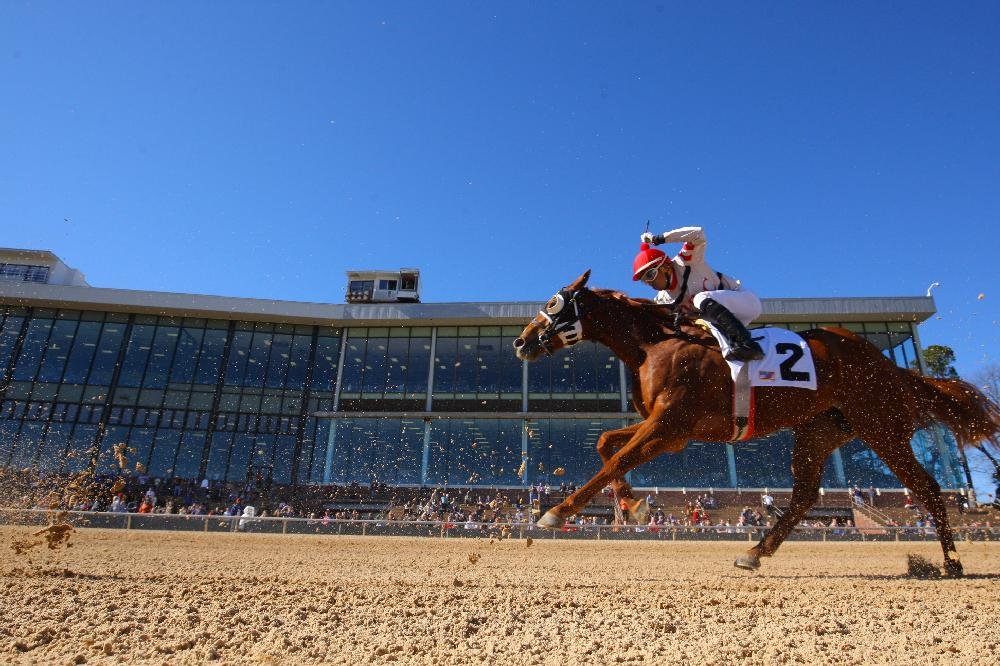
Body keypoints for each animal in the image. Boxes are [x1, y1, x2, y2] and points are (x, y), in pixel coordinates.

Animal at [512, 268, 996, 572]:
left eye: (553, 301)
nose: (520, 341)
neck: (656, 343)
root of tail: (890, 365)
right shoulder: (669, 430)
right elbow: (605, 444)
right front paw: (633, 504)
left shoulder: (670, 426)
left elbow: (614, 458)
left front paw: (556, 512)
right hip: (821, 430)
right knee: (804, 496)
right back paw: (755, 551)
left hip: (879, 426)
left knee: (927, 488)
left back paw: (952, 563)